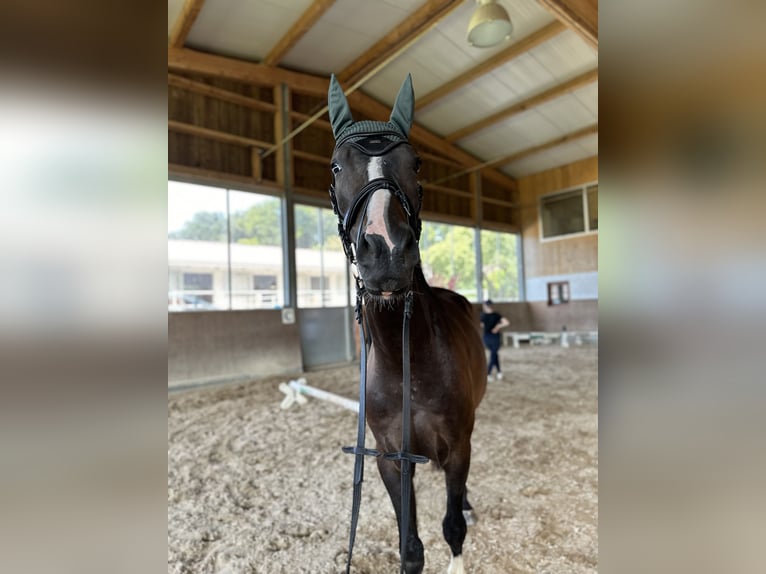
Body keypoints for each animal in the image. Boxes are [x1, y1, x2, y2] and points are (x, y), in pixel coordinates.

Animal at [328, 74, 486, 572]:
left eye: (415, 164)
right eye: (336, 168)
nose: (386, 253)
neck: (408, 362)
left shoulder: (457, 447)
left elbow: (451, 528)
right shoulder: (390, 459)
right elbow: (410, 546)